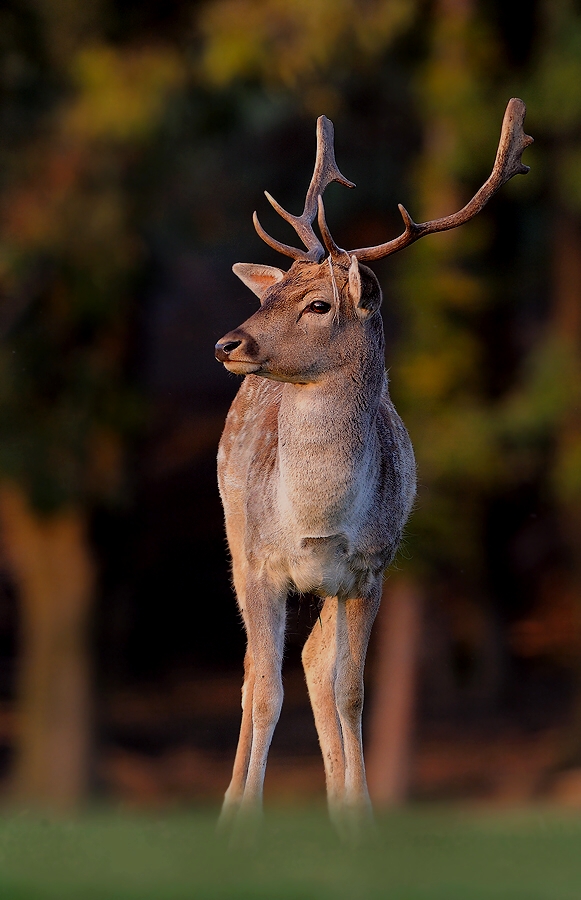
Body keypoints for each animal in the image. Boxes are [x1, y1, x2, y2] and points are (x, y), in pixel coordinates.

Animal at [214, 98, 532, 839]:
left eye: (319, 304)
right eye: (271, 296)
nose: (228, 343)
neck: (316, 518)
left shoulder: (369, 570)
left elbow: (350, 690)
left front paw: (359, 821)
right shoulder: (262, 564)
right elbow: (263, 688)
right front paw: (242, 822)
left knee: (312, 661)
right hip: (236, 544)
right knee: (252, 670)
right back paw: (229, 802)